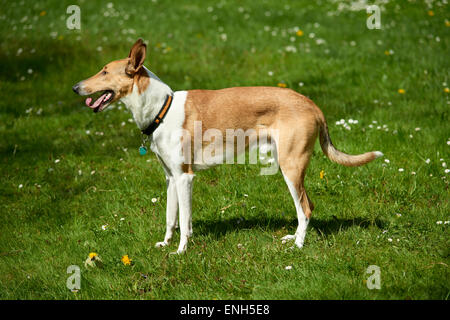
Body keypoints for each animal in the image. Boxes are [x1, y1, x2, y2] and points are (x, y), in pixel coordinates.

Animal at [72, 38, 382, 254]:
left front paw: (181, 252)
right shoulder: (171, 178)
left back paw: (297, 247)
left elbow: (184, 221)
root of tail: (311, 103)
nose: (75, 87)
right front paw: (165, 244)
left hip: (291, 167)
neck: (162, 109)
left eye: (104, 72)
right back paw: (292, 238)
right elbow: (171, 218)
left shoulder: (185, 177)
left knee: (305, 208)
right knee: (304, 208)